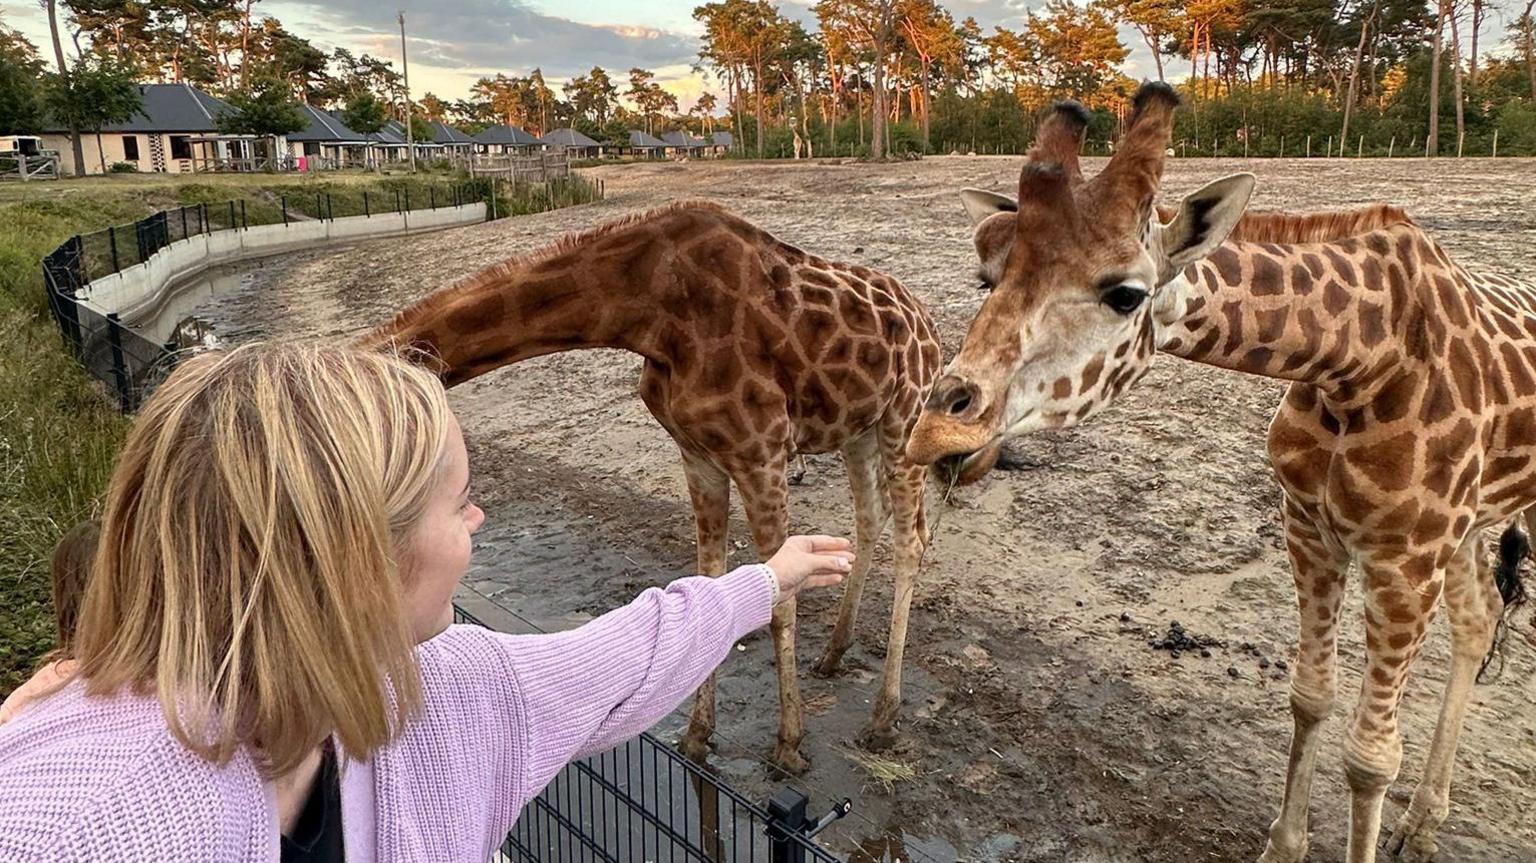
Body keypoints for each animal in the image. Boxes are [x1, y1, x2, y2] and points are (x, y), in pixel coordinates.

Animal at [362, 198, 958, 767]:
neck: (646, 310)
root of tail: (928, 324)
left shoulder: (761, 451)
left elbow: (780, 598)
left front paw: (788, 746)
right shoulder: (699, 456)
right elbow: (711, 580)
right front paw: (697, 736)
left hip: (906, 417)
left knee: (912, 539)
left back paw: (883, 716)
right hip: (859, 427)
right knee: (871, 517)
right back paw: (834, 653)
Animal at [909, 80, 1536, 859]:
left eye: (1126, 293)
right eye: (985, 278)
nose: (938, 432)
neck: (1358, 360)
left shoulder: (1405, 559)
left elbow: (1369, 758)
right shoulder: (1310, 527)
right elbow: (1310, 696)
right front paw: (1283, 845)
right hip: (1474, 523)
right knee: (1479, 620)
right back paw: (1421, 825)